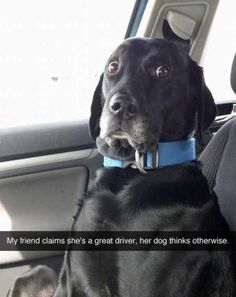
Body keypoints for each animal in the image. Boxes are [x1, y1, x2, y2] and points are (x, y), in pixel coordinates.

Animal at [8, 37, 235, 296]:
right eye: (113, 67)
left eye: (163, 71)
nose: (120, 106)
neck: (131, 172)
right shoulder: (71, 279)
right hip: (39, 273)